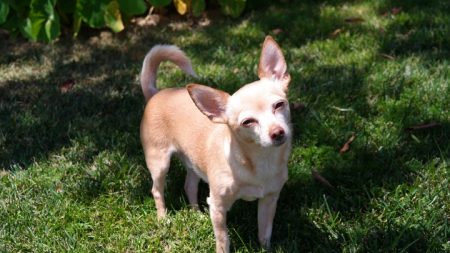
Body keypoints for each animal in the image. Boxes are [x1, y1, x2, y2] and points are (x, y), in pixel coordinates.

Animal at [140, 36, 292, 253]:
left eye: (279, 105)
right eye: (248, 122)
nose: (277, 132)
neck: (259, 161)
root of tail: (155, 93)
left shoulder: (269, 200)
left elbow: (265, 233)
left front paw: (266, 248)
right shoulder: (218, 206)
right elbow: (223, 240)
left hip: (194, 162)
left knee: (189, 186)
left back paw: (197, 214)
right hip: (159, 163)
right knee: (156, 190)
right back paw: (163, 219)